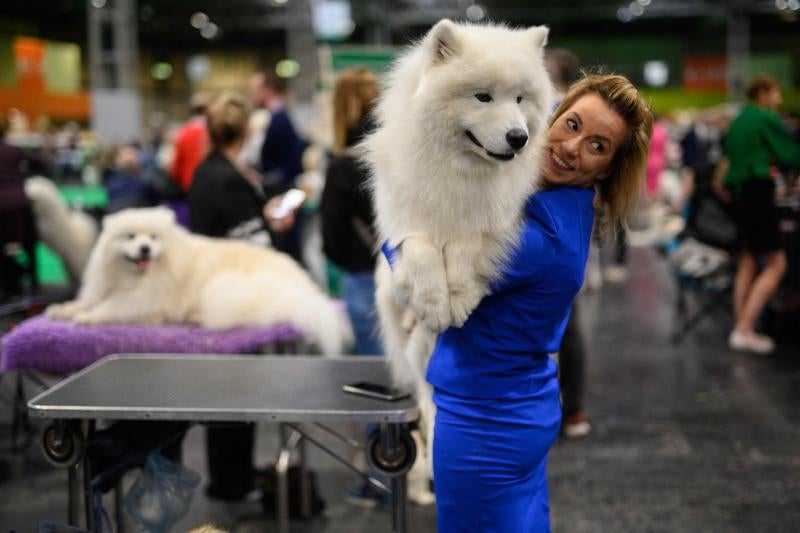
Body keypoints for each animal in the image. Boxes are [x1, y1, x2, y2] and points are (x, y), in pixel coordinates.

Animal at [46, 206, 354, 356]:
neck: (135, 277)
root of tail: (303, 287)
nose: (145, 249)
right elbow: (86, 301)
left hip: (225, 288)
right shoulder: (105, 289)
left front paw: (87, 317)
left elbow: (111, 307)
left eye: (154, 238)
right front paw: (62, 310)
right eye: (130, 237)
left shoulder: (144, 301)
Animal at [360, 19, 552, 502]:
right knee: (429, 406)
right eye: (482, 97)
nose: (519, 138)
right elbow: (423, 249)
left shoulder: (495, 219)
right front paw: (435, 303)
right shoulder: (403, 228)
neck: (461, 172)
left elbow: (467, 246)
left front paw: (459, 298)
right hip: (416, 347)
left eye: (520, 99)